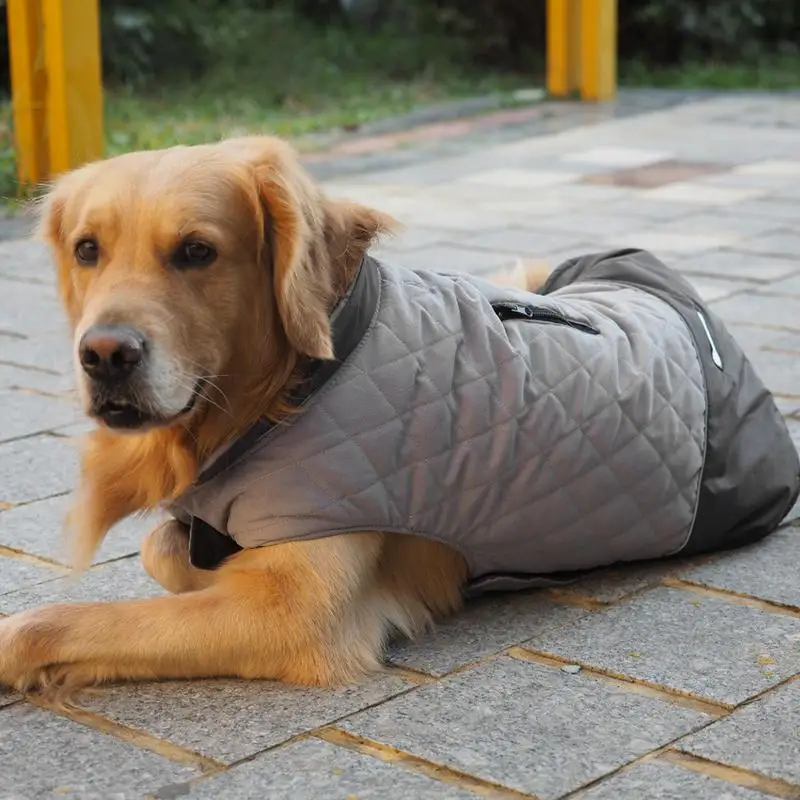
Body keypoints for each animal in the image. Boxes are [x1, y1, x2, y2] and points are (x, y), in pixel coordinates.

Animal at [0, 133, 796, 700]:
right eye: (87, 250)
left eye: (197, 251)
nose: (104, 355)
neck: (289, 388)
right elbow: (161, 547)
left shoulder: (296, 611)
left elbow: (57, 621)